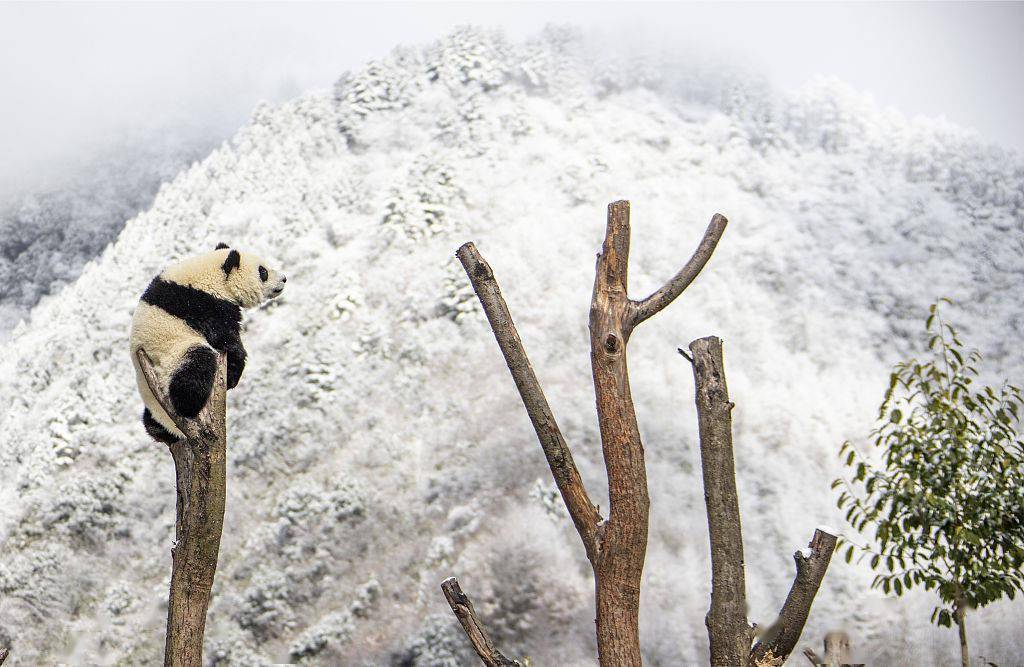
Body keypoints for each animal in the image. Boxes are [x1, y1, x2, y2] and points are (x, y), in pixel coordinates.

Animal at [131, 243, 288, 442]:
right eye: (263, 271)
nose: (284, 279)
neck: (211, 277)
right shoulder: (203, 306)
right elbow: (224, 337)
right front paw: (234, 370)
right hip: (171, 358)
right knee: (196, 366)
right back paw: (188, 405)